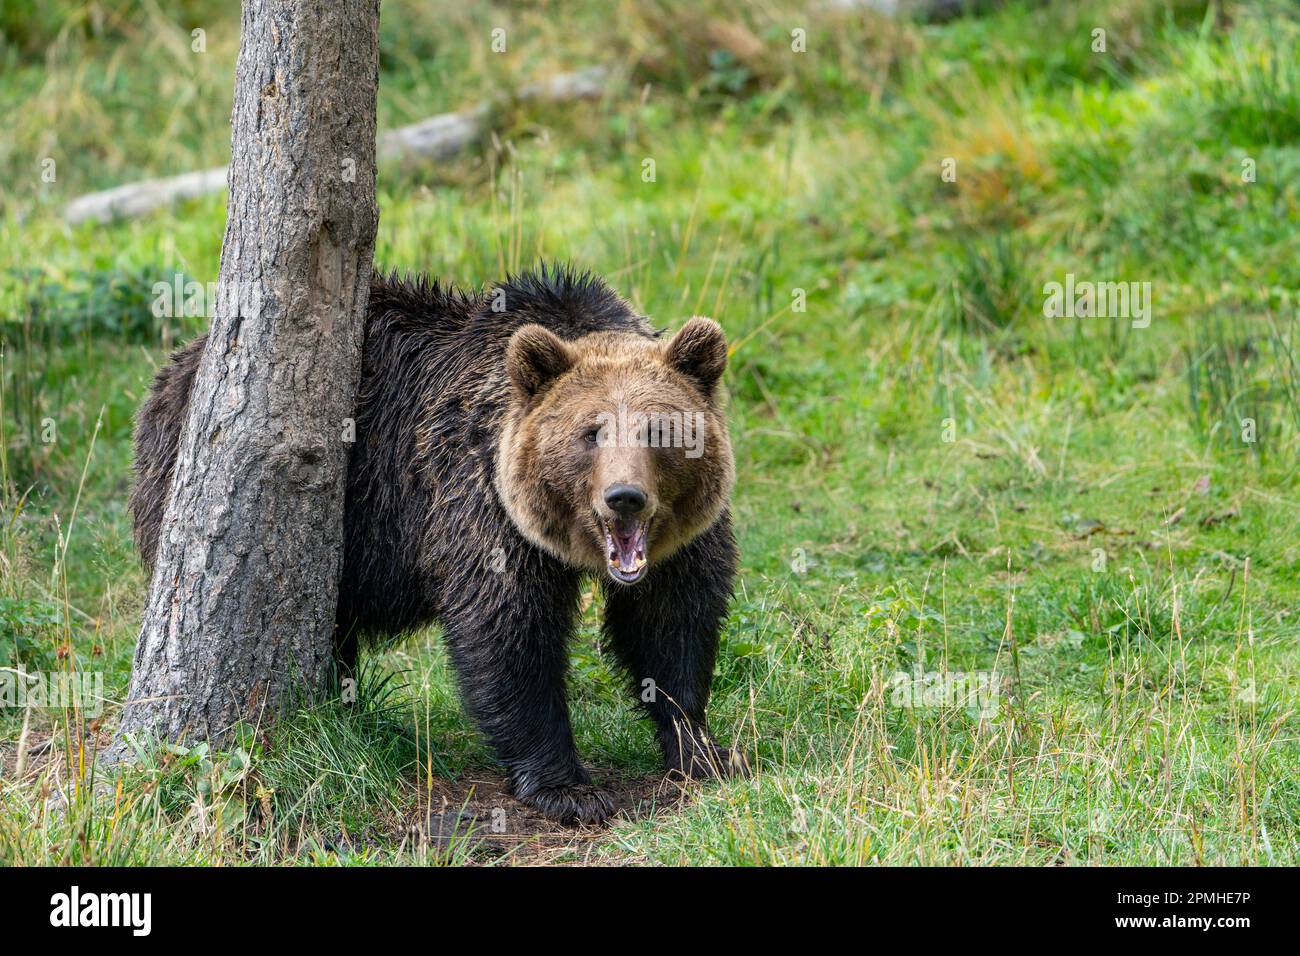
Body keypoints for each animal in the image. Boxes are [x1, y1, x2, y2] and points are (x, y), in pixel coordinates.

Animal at [131, 265, 748, 827]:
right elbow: (508, 631)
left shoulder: (681, 539)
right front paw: (569, 788)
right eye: (590, 432)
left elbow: (672, 621)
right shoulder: (479, 497)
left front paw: (703, 748)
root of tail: (178, 366)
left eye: (658, 431)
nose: (625, 497)